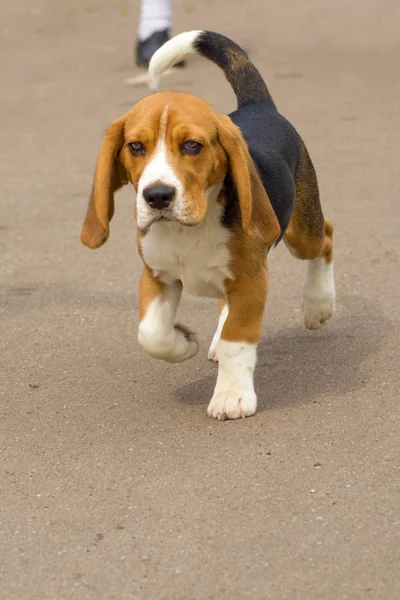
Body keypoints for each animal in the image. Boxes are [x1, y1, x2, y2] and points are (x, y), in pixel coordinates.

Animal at [80, 30, 334, 420]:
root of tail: (257, 107)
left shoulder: (251, 279)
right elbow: (151, 333)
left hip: (300, 231)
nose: (157, 196)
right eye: (135, 147)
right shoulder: (157, 275)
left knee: (326, 238)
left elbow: (236, 340)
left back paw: (318, 305)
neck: (186, 230)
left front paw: (231, 395)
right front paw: (183, 342)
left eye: (191, 145)